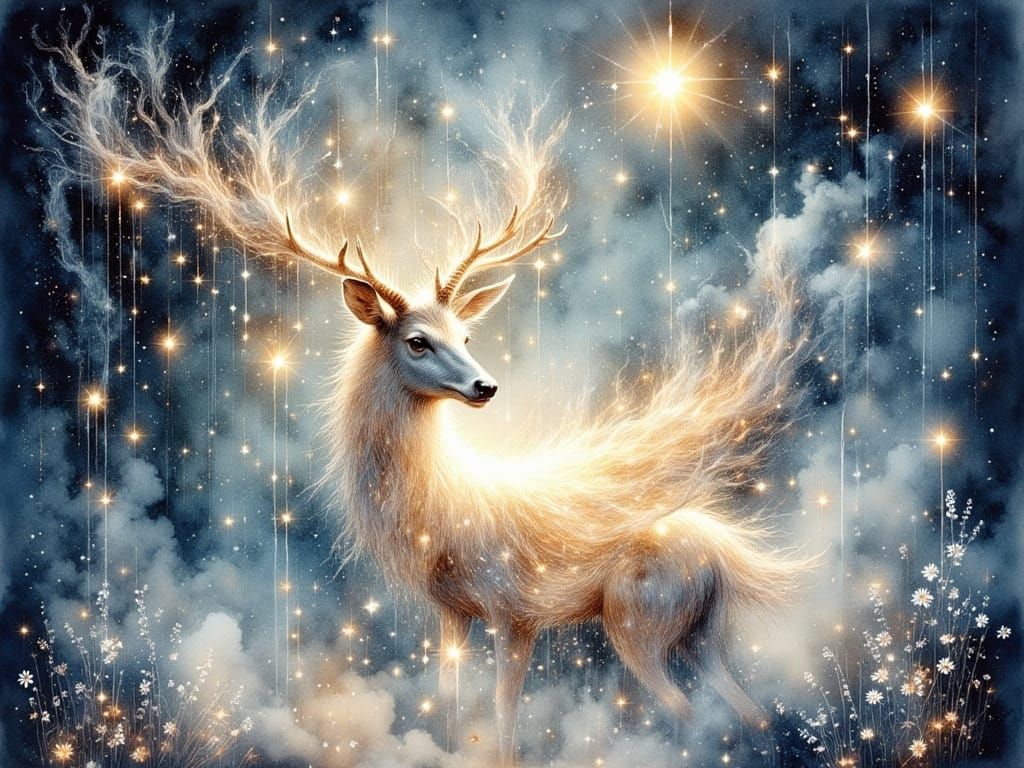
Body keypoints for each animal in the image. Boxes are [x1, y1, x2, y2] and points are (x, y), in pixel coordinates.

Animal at [35, 14, 811, 766]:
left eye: (465, 333)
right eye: (417, 340)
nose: (487, 385)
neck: (442, 519)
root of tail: (727, 553)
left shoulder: (516, 608)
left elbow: (503, 721)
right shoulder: (453, 612)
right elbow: (449, 700)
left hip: (638, 617)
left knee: (689, 714)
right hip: (700, 631)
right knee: (740, 711)